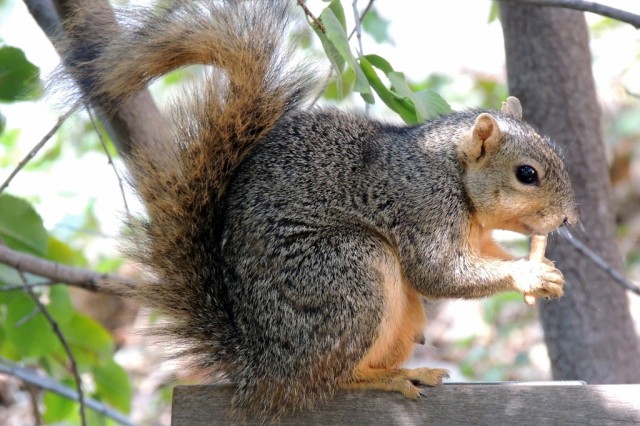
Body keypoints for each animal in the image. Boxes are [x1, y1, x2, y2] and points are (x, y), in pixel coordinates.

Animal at [59, 0, 579, 415]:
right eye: (526, 173)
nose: (569, 218)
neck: (453, 173)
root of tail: (262, 364)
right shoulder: (423, 207)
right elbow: (440, 273)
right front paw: (529, 273)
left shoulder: (473, 230)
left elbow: (481, 254)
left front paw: (544, 267)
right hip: (347, 272)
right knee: (329, 380)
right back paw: (390, 377)